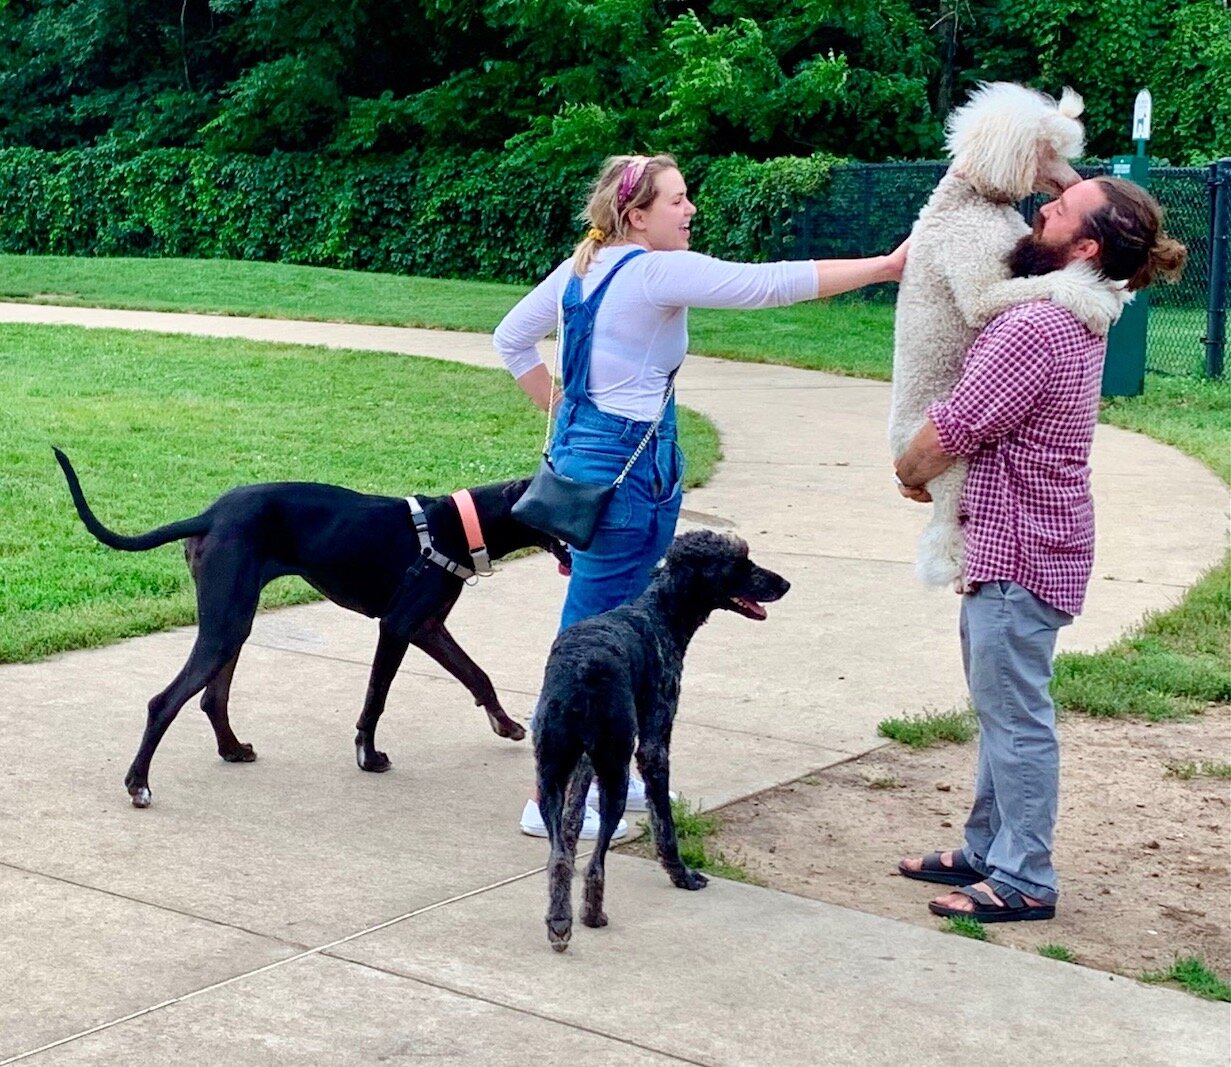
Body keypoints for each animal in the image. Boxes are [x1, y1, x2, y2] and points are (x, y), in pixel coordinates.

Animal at [49, 450, 566, 807]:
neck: (455, 525)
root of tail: (210, 514)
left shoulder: (428, 626)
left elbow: (476, 674)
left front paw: (506, 724)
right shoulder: (398, 626)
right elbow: (376, 699)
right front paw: (368, 757)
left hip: (234, 622)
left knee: (212, 697)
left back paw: (232, 749)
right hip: (226, 624)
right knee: (164, 702)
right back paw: (138, 784)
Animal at [536, 529, 787, 955]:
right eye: (739, 562)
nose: (784, 584)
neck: (658, 612)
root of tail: (582, 670)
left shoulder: (584, 763)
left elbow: (570, 825)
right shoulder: (655, 742)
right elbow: (663, 821)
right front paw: (682, 873)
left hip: (552, 770)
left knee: (558, 858)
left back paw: (559, 921)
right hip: (615, 773)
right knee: (597, 862)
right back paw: (592, 914)